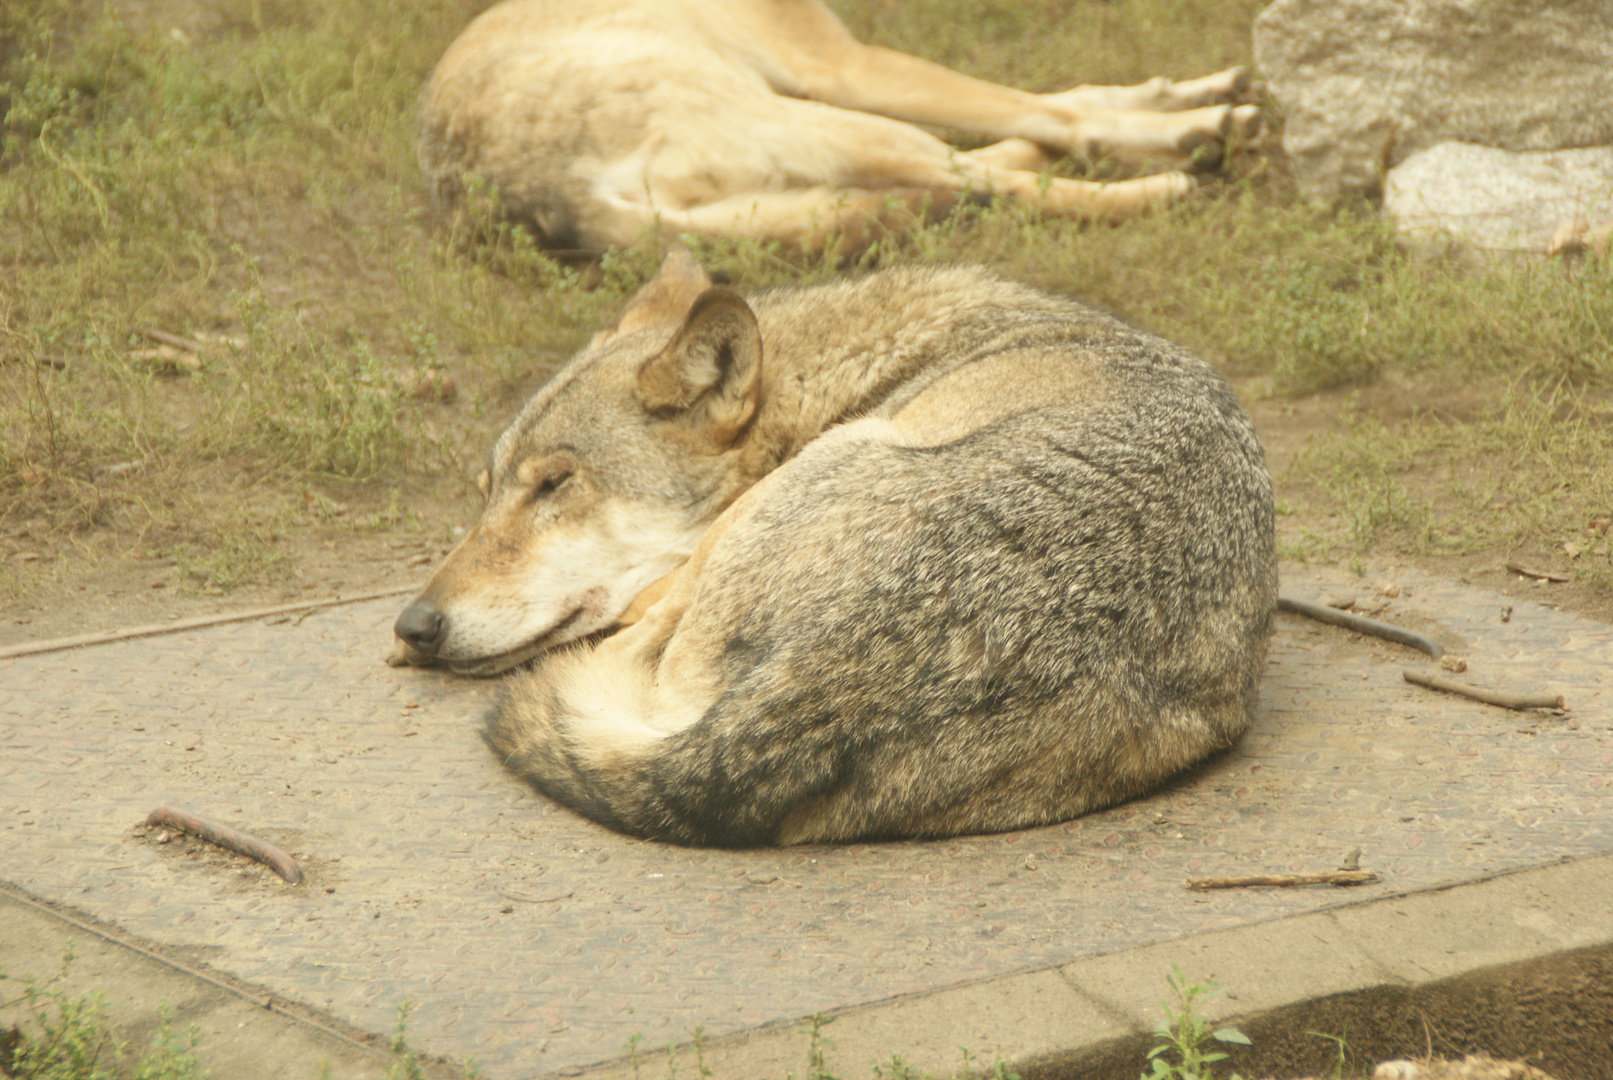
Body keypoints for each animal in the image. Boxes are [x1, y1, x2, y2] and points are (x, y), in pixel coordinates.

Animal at [396, 254, 1277, 844]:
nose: (414, 625)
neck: (860, 371)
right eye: (487, 489)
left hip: (820, 472)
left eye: (553, 485)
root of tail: (821, 687)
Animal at [412, 0, 1258, 249]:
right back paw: (1173, 176)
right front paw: (1196, 116)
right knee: (994, 180)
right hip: (821, 114)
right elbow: (1065, 108)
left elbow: (1077, 96)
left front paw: (1187, 90)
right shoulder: (845, 63)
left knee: (976, 173)